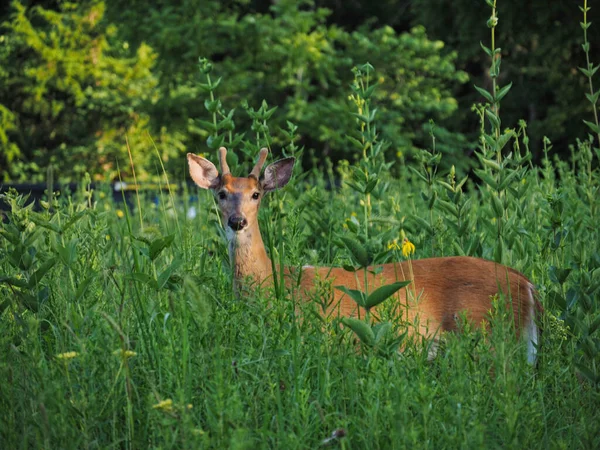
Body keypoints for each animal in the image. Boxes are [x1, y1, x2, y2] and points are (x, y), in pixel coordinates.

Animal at [189, 148, 544, 362]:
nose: (238, 221)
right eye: (221, 193)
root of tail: (526, 283)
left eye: (256, 194)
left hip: (491, 336)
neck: (272, 283)